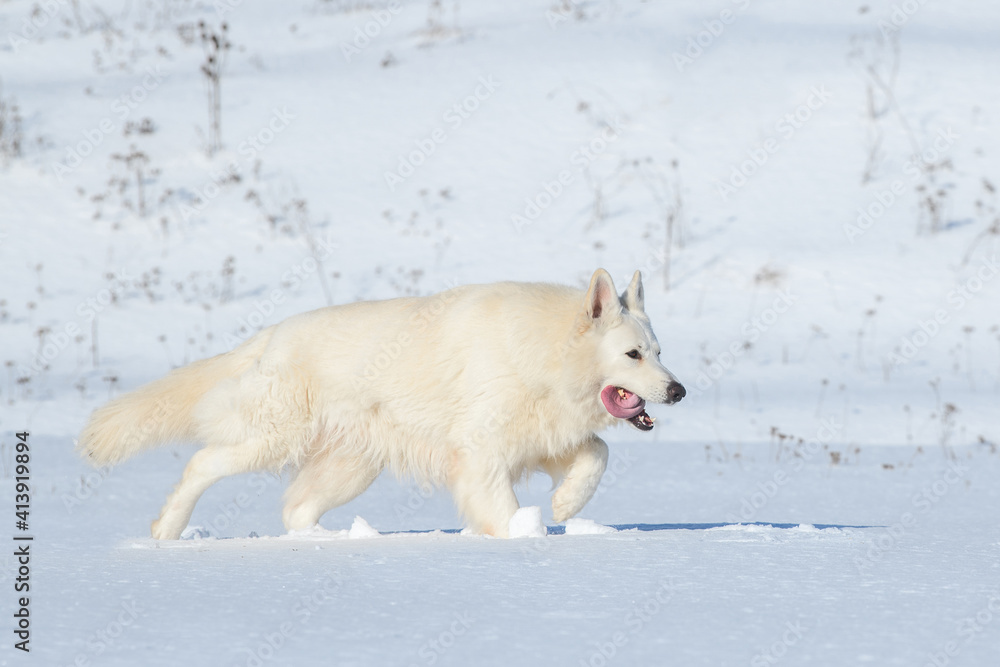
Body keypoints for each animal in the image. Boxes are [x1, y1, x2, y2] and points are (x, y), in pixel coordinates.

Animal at [82, 268, 684, 540]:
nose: (678, 391)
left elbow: (598, 454)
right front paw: (525, 535)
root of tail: (271, 335)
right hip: (270, 439)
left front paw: (563, 507)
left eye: (658, 352)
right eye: (631, 354)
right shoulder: (482, 452)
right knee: (202, 464)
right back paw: (167, 529)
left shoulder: (543, 438)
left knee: (296, 508)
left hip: (351, 468)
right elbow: (502, 508)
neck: (546, 353)